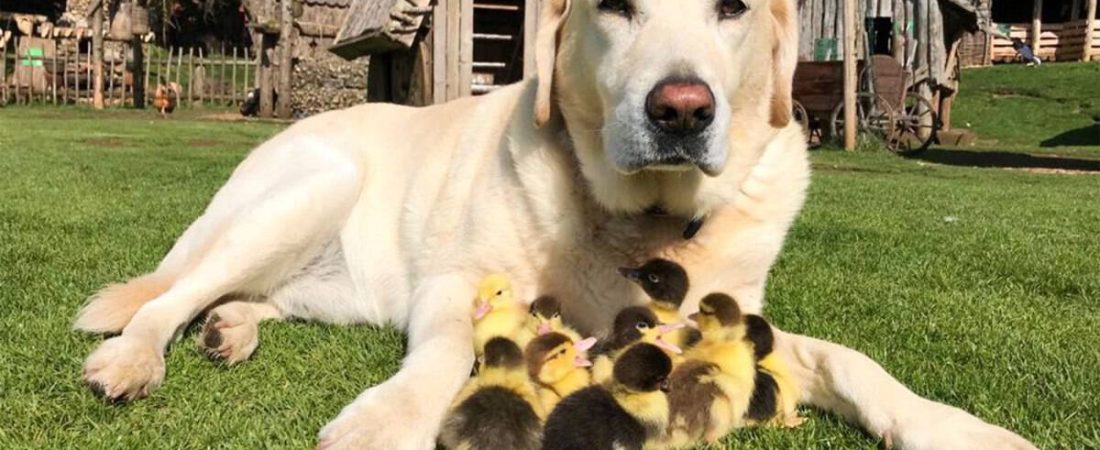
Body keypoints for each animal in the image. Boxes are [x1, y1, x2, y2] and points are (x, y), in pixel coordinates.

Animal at [75, 0, 1029, 444]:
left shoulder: (731, 318)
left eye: (732, 8)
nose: (681, 110)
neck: (643, 220)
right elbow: (445, 355)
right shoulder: (457, 281)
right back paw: (137, 356)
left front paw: (961, 430)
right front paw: (388, 421)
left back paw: (232, 328)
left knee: (250, 295)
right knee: (173, 292)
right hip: (310, 187)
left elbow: (853, 360)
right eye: (614, 7)